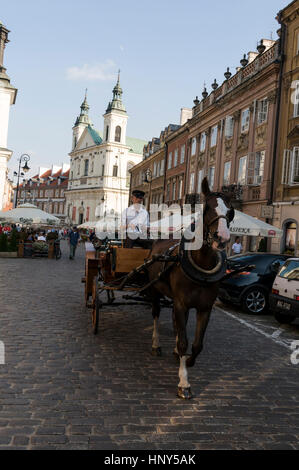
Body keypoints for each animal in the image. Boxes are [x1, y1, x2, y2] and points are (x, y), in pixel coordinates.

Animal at [147, 178, 234, 398]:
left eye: (230, 211)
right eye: (207, 207)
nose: (222, 238)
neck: (201, 265)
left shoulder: (205, 308)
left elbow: (196, 344)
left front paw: (189, 360)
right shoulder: (180, 303)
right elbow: (184, 342)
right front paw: (184, 383)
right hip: (155, 292)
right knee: (156, 315)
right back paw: (156, 344)